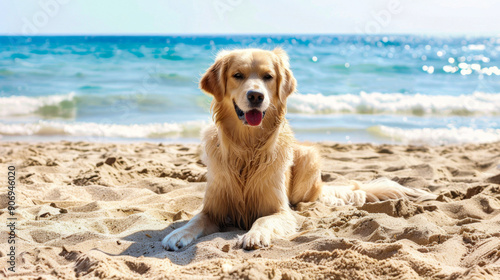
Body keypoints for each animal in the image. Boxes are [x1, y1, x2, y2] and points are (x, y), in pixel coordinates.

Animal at [161, 47, 434, 250]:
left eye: (268, 77)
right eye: (237, 75)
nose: (256, 96)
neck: (247, 147)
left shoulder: (279, 210)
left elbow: (264, 219)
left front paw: (254, 235)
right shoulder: (214, 207)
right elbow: (196, 219)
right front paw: (178, 234)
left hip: (308, 157)